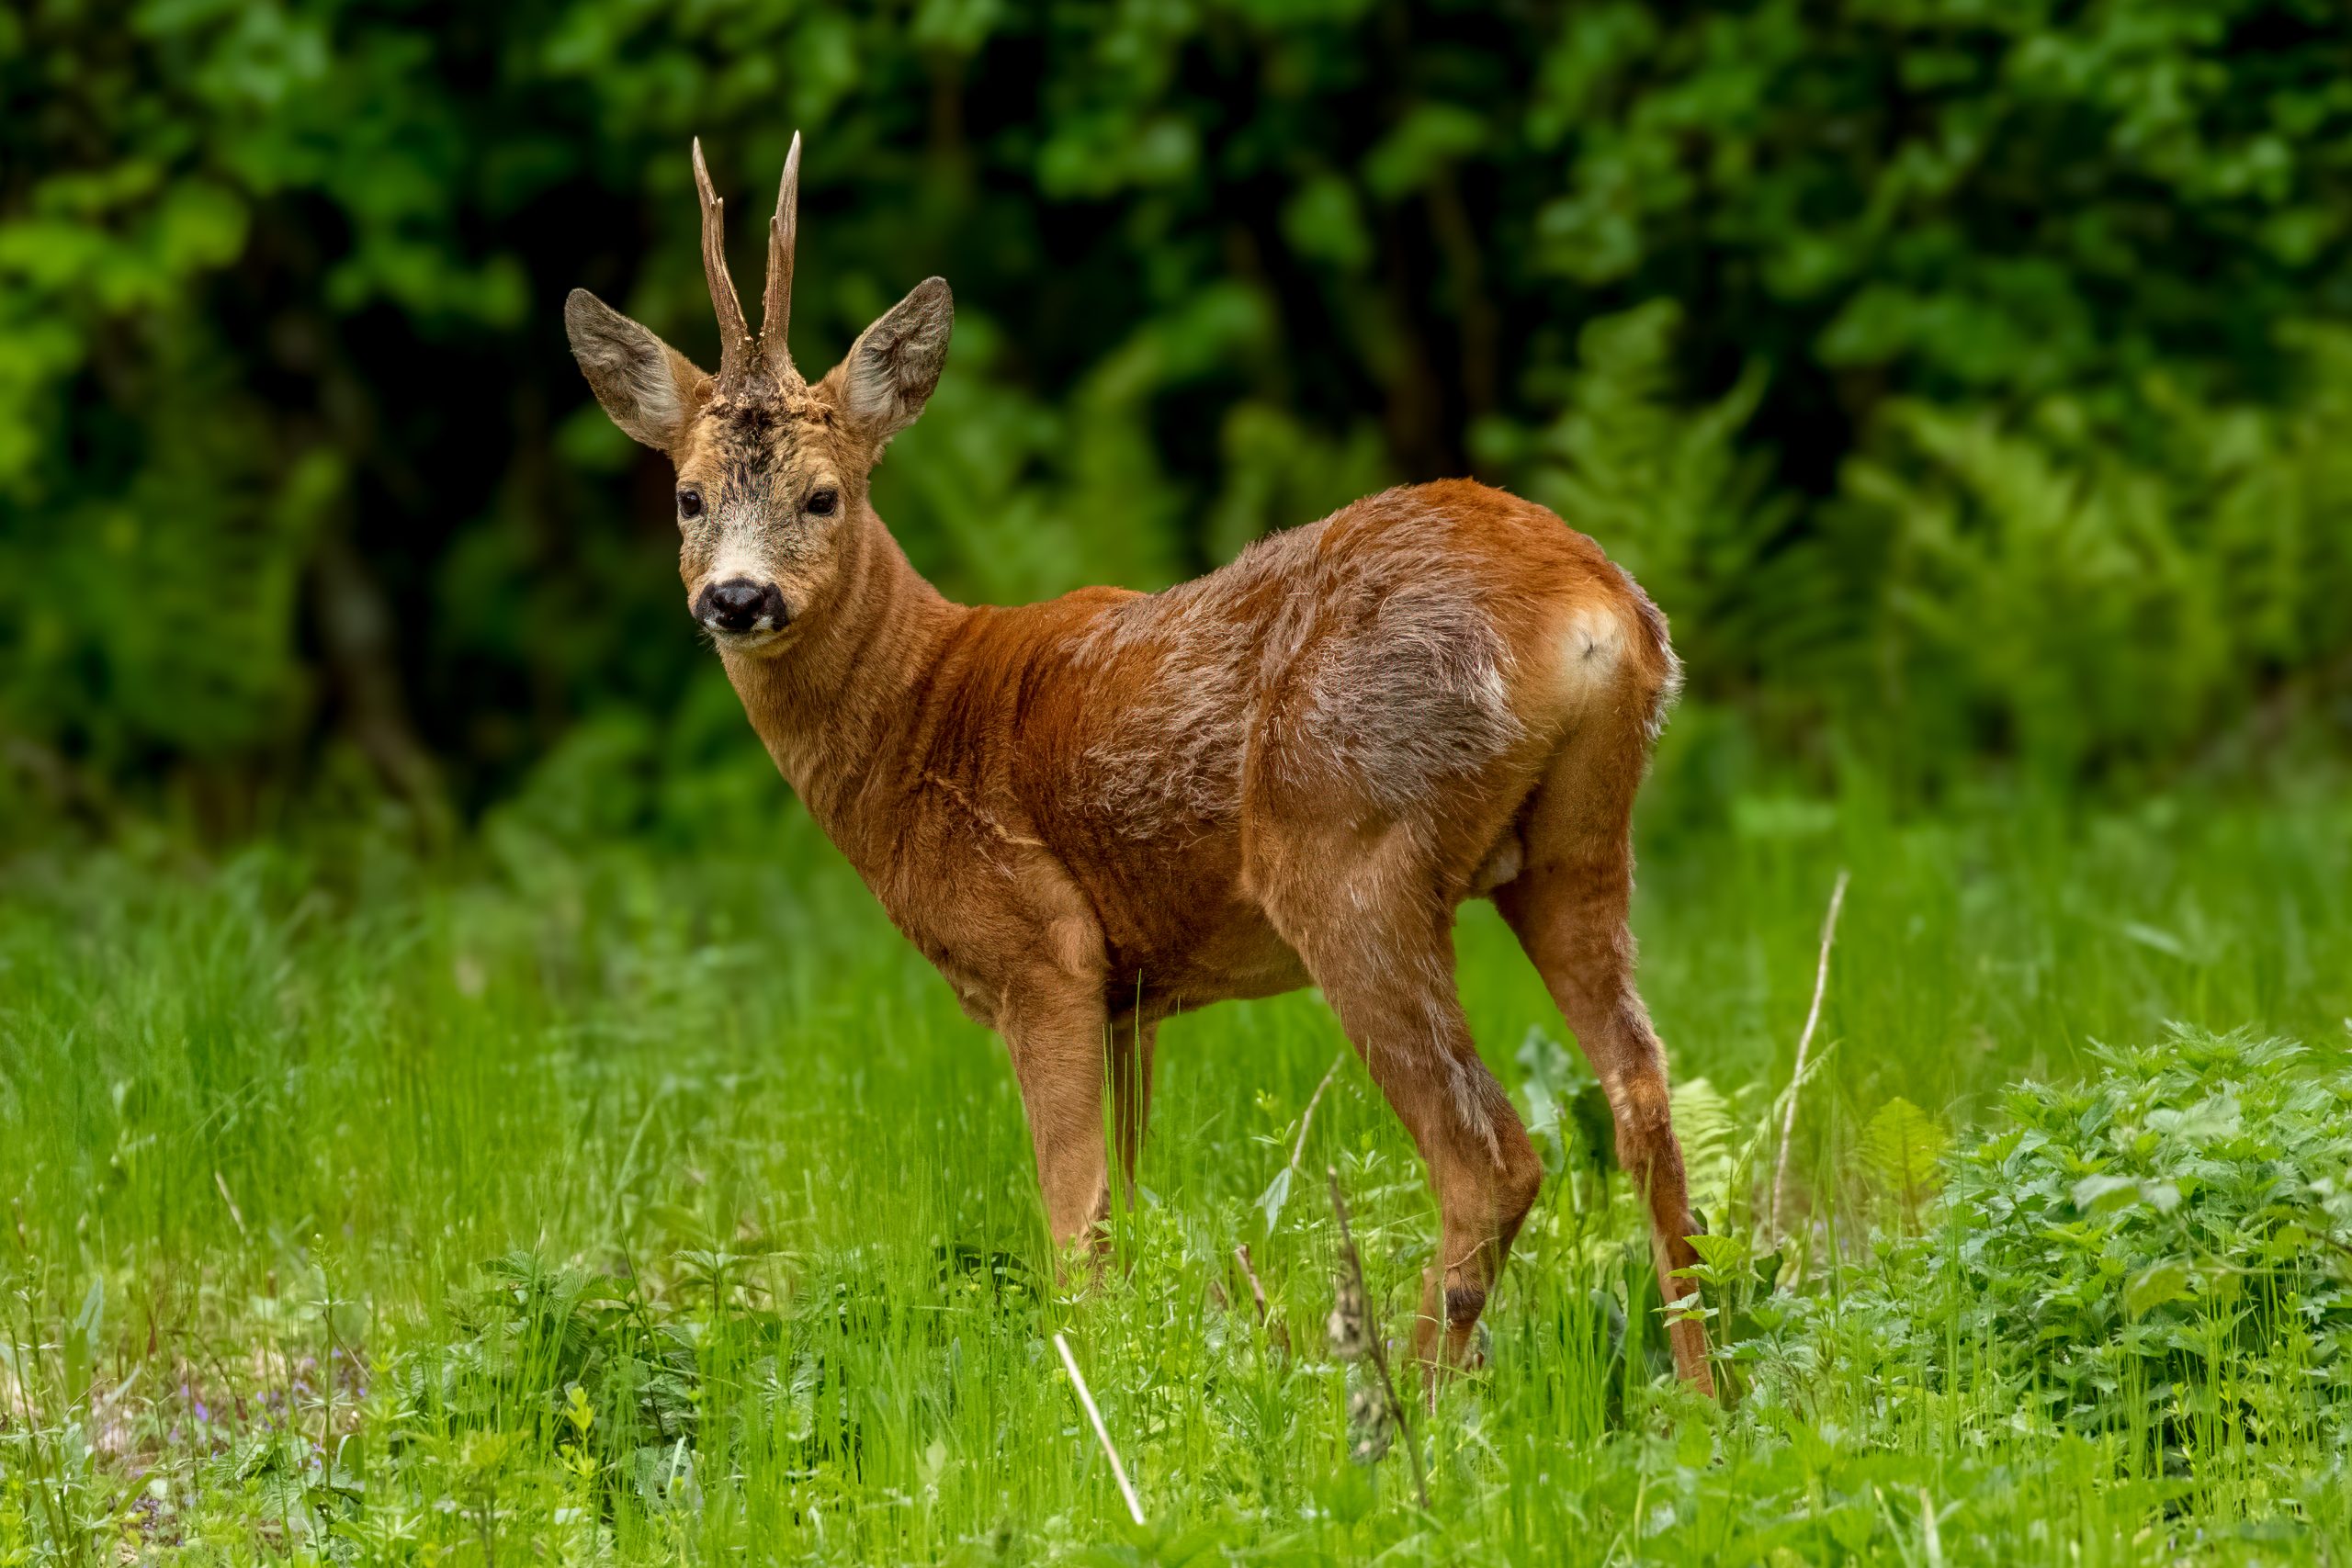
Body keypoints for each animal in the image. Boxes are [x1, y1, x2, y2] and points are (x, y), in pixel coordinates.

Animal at [561, 135, 1721, 1382]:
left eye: (823, 495)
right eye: (687, 498)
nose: (737, 597)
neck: (917, 717)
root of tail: (1595, 606)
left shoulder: (1044, 950)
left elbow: (1076, 1227)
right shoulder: (1131, 997)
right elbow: (1127, 1206)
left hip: (1349, 847)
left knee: (1492, 1154)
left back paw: (1407, 1396)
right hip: (1576, 845)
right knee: (1643, 1089)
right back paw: (1703, 1392)